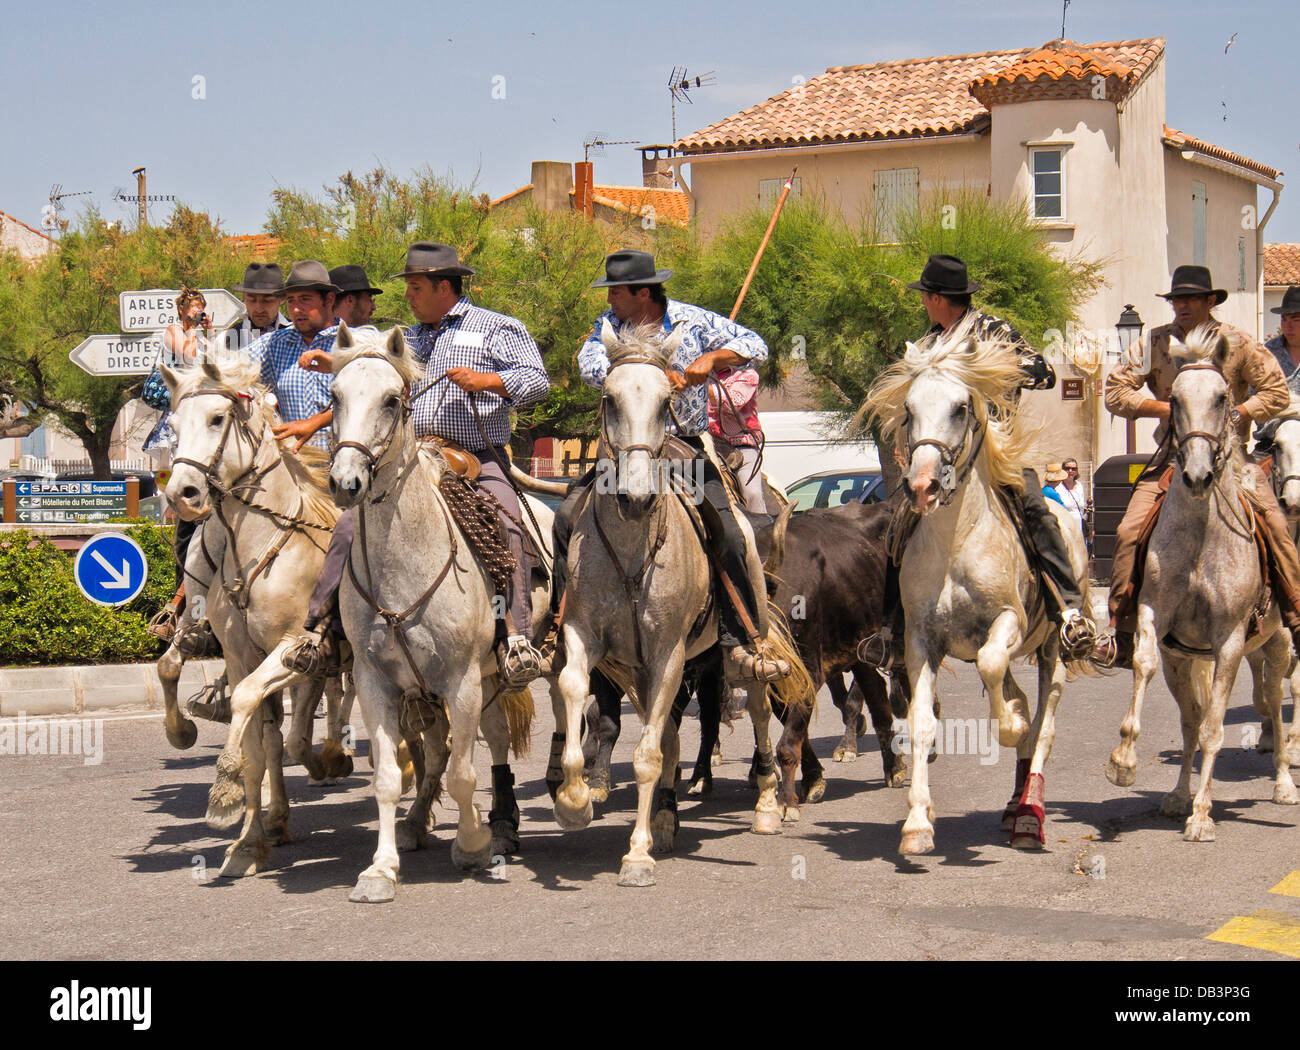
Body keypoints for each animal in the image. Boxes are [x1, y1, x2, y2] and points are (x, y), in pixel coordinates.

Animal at [161, 356, 345, 873]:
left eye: (217, 419)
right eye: (173, 426)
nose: (181, 494)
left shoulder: (289, 651)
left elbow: (249, 708)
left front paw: (224, 793)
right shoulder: (241, 655)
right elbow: (259, 746)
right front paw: (253, 837)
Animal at [553, 319, 785, 883]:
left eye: (665, 403)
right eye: (610, 399)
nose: (635, 498)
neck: (632, 550)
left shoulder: (668, 654)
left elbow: (648, 756)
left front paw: (636, 855)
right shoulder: (586, 639)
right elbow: (576, 691)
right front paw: (574, 800)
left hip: (741, 642)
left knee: (759, 705)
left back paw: (767, 802)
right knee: (672, 731)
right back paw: (664, 816)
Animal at [868, 322, 1092, 852]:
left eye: (959, 407)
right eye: (909, 410)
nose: (922, 486)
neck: (956, 542)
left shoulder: (1008, 621)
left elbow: (998, 679)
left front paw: (1009, 726)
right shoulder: (919, 640)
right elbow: (923, 723)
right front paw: (917, 824)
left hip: (1051, 647)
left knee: (1044, 722)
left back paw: (1029, 814)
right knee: (1022, 701)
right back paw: (1013, 805)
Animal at [1102, 323, 1294, 842]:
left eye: (1223, 397)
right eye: (1175, 400)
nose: (1197, 475)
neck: (1201, 538)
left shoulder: (1228, 639)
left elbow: (1213, 728)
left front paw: (1203, 814)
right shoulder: (1156, 620)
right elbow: (1156, 680)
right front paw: (1125, 759)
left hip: (1276, 643)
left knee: (1274, 704)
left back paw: (1283, 782)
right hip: (1187, 659)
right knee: (1194, 716)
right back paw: (1177, 795)